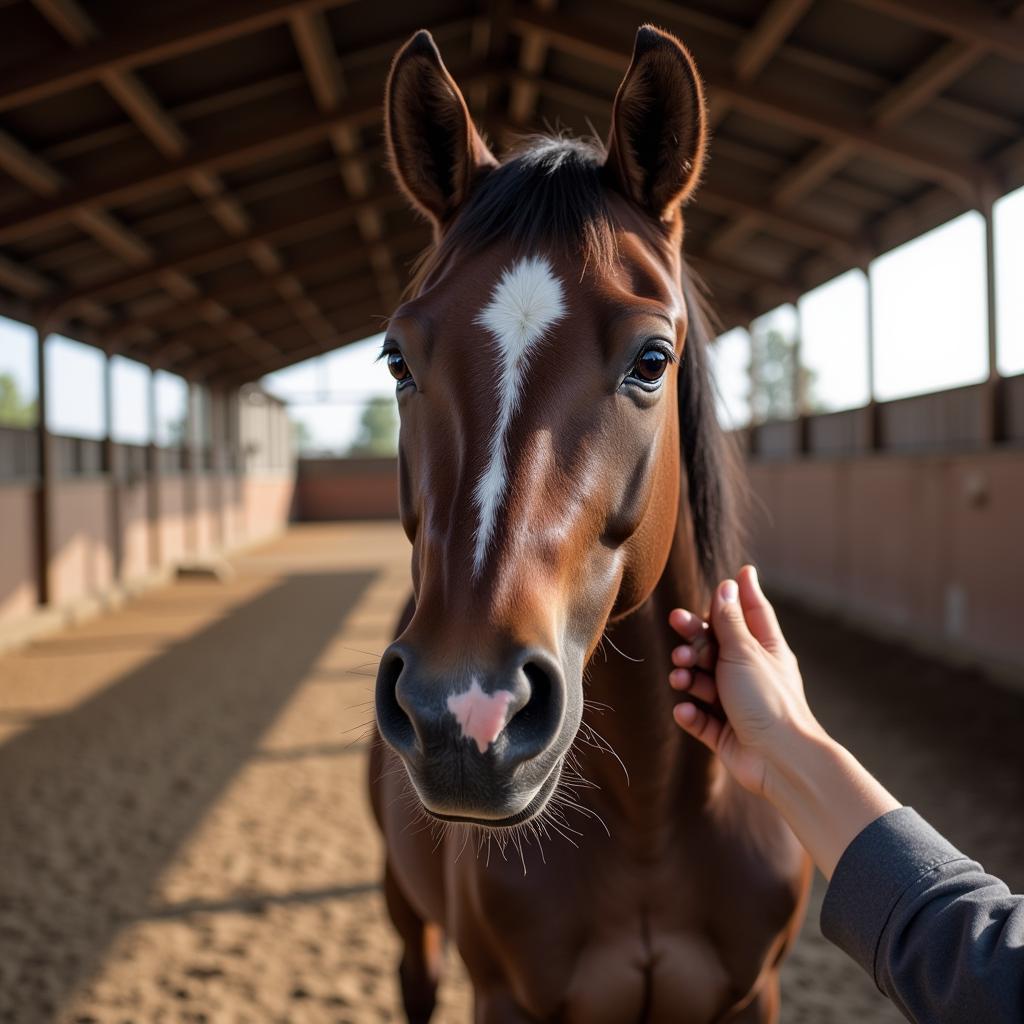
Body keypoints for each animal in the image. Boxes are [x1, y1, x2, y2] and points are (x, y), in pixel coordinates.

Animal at [368, 25, 806, 1024]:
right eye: (398, 358)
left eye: (652, 359)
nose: (466, 714)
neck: (651, 828)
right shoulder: (504, 996)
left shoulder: (755, 996)